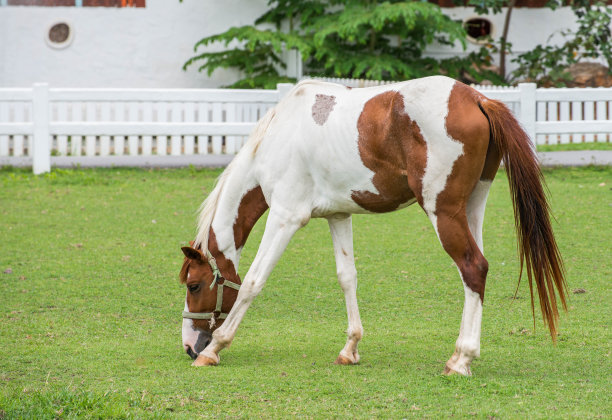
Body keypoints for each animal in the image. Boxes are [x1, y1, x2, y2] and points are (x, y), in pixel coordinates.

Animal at [176, 76, 564, 378]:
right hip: (471, 207)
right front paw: (350, 348)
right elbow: (347, 277)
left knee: (473, 268)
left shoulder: (285, 217)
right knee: (476, 274)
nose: (189, 346)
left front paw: (215, 349)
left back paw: (460, 359)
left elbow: (253, 282)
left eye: (194, 285)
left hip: (443, 212)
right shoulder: (338, 216)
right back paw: (464, 356)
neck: (279, 136)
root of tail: (477, 98)